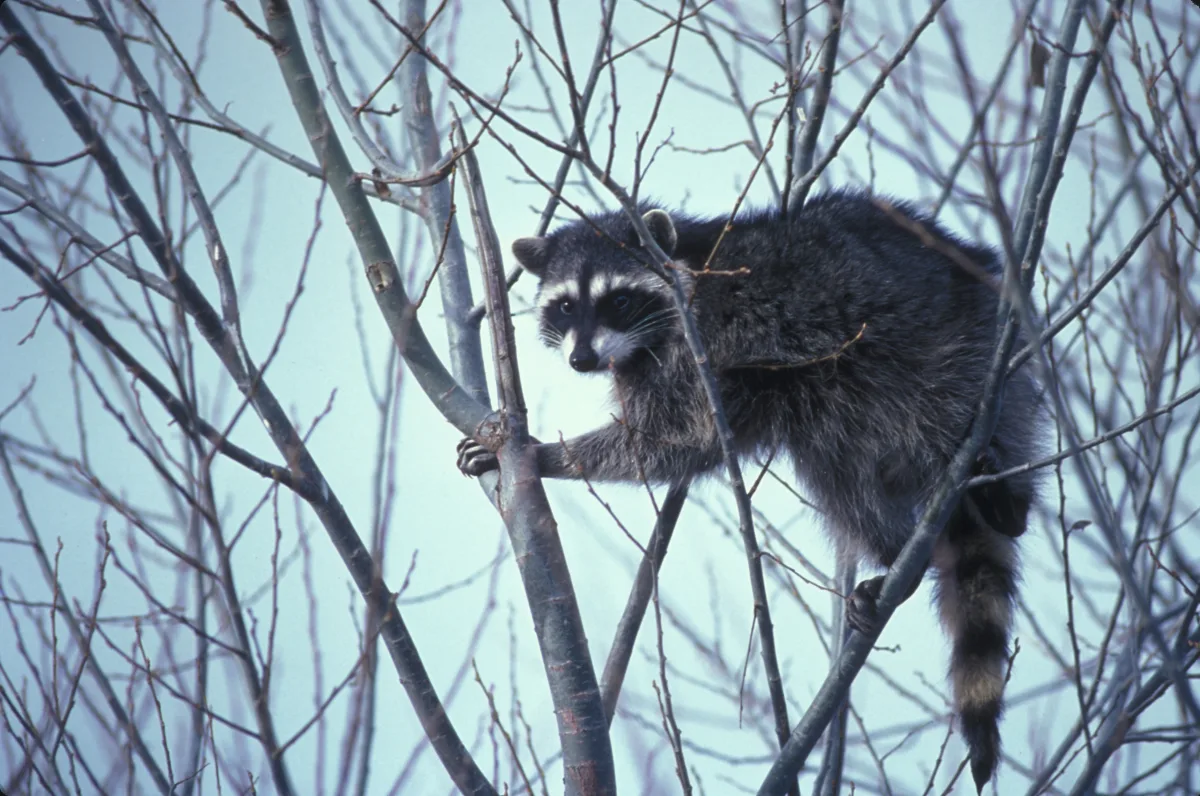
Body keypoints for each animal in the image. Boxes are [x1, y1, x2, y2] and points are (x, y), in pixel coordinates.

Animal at [457, 190, 1040, 792]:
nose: (582, 360)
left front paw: (549, 455)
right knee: (837, 470)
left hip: (954, 345)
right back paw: (895, 552)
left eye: (618, 300)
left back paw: (1004, 496)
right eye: (567, 306)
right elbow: (685, 445)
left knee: (939, 408)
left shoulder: (700, 346)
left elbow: (672, 436)